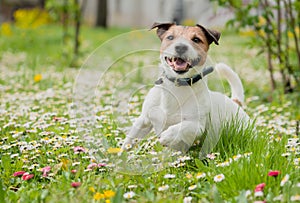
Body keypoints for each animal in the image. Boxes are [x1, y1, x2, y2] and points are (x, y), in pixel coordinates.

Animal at [120, 22, 250, 152]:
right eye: (170, 37)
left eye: (196, 39)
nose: (181, 47)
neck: (177, 85)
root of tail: (235, 102)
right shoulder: (144, 120)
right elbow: (130, 139)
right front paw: (121, 153)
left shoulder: (197, 126)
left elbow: (182, 127)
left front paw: (167, 136)